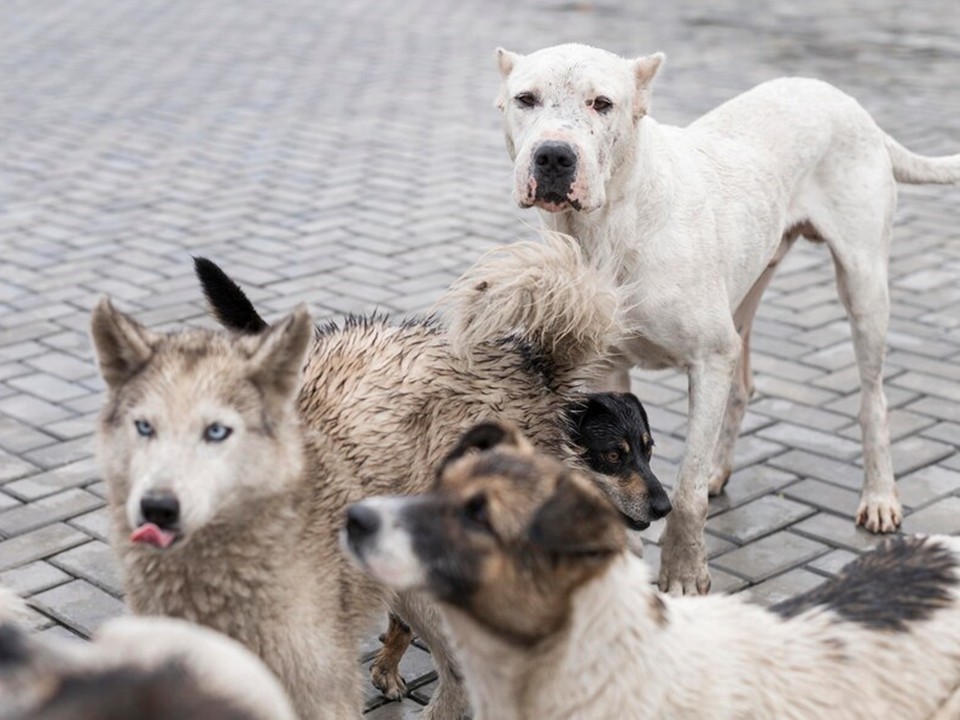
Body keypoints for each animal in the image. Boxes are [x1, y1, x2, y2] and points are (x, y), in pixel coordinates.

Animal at [476, 40, 960, 596]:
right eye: (525, 99)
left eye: (602, 104)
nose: (554, 155)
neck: (610, 229)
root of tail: (850, 104)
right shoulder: (608, 370)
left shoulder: (709, 358)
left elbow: (685, 494)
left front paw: (684, 572)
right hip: (747, 293)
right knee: (742, 387)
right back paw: (719, 467)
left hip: (863, 285)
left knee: (872, 399)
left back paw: (879, 496)